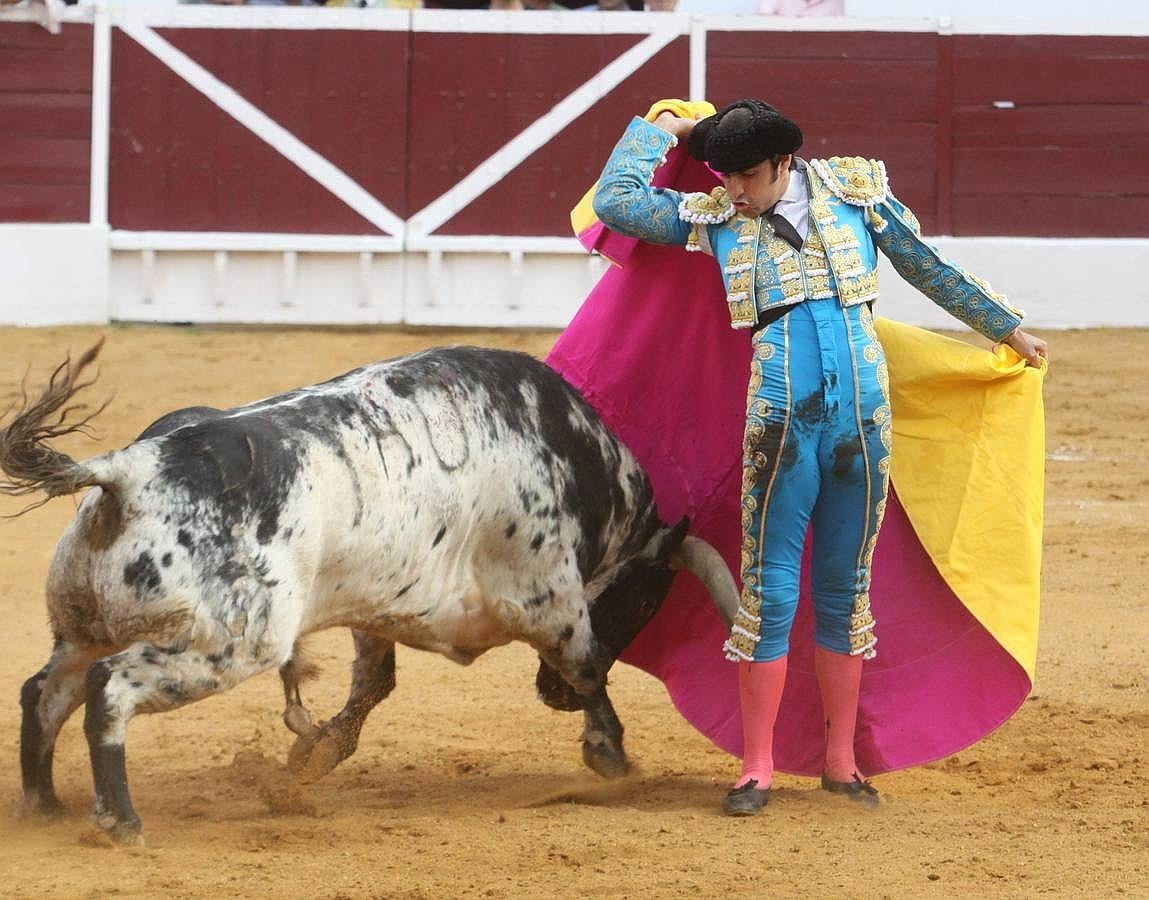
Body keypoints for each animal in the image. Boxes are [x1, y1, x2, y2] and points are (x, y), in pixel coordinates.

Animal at [2, 342, 735, 845]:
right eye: (646, 603)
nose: (547, 697)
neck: (573, 459)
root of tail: (130, 469)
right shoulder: (546, 594)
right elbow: (586, 664)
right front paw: (611, 755)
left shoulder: (380, 602)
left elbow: (373, 686)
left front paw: (311, 755)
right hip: (229, 646)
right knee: (109, 688)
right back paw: (120, 822)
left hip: (84, 627)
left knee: (47, 692)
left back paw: (45, 805)